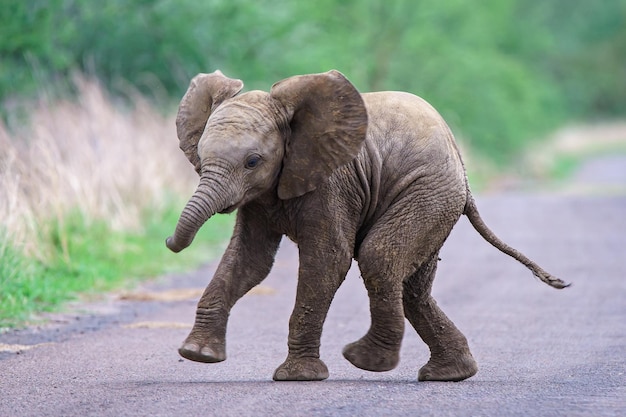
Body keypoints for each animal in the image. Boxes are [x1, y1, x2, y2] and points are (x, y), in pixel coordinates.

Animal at [166, 69, 564, 380]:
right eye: (200, 156)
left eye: (252, 161)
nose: (169, 241)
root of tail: (463, 171)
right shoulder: (261, 196)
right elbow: (249, 261)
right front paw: (198, 354)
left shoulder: (333, 182)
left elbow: (328, 259)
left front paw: (297, 377)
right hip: (436, 202)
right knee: (412, 288)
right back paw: (450, 374)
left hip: (428, 193)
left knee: (379, 257)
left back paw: (365, 361)